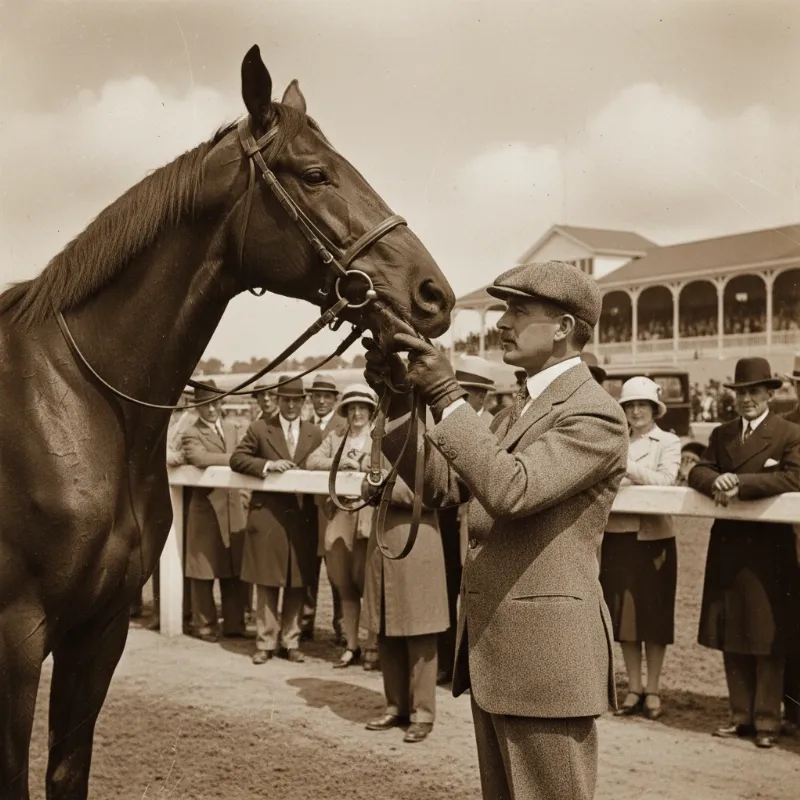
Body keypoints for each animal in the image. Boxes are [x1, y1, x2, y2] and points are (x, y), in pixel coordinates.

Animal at [0, 44, 454, 799]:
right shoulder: (17, 636)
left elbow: (68, 769)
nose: (433, 294)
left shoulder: (98, 631)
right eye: (316, 173)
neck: (75, 404)